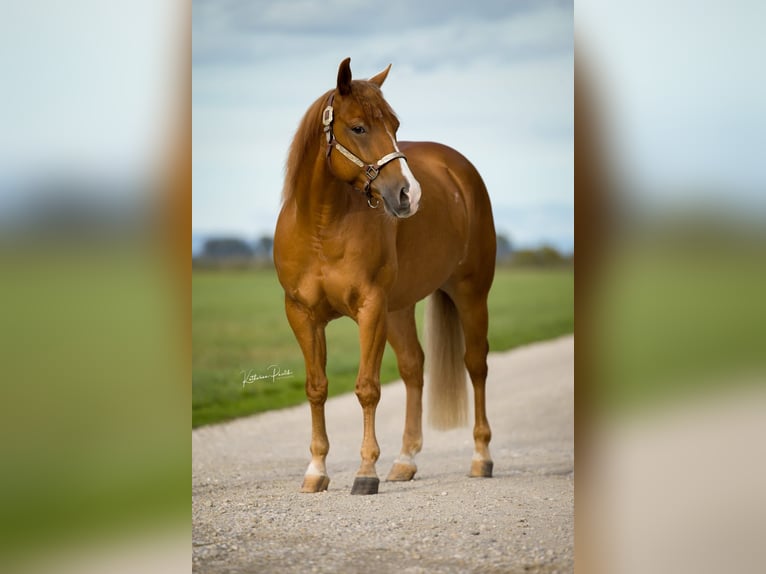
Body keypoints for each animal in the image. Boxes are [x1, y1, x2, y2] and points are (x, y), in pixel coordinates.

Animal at [274, 58, 496, 495]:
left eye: (394, 125)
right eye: (358, 127)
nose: (409, 194)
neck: (321, 227)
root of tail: (459, 169)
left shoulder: (371, 307)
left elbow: (367, 388)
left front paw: (365, 472)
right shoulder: (301, 314)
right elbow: (316, 387)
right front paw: (316, 470)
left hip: (470, 294)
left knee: (476, 365)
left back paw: (481, 458)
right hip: (400, 308)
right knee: (413, 368)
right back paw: (405, 460)